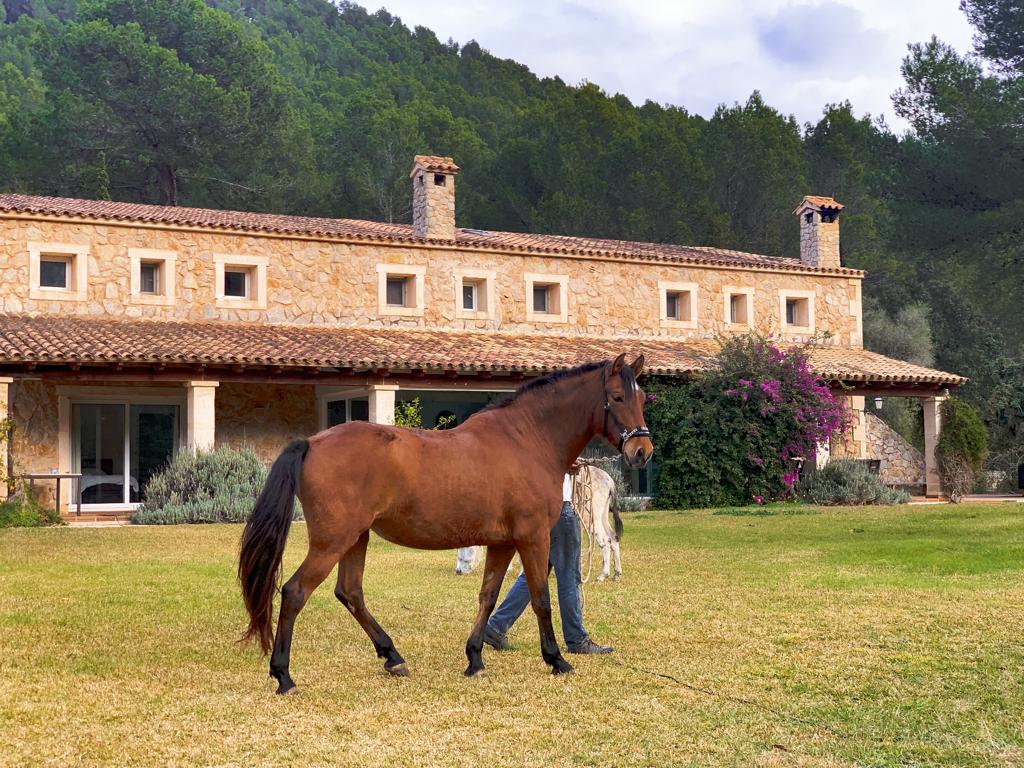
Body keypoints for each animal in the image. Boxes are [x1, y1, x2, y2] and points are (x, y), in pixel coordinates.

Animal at [236, 354, 651, 696]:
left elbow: (488, 596)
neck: (528, 439)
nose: (641, 452)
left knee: (350, 592)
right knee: (294, 592)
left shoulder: (502, 543)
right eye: (617, 397)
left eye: (643, 397)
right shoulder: (533, 537)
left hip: (356, 538)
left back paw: (393, 657)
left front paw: (475, 659)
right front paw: (556, 659)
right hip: (332, 542)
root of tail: (311, 443)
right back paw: (284, 676)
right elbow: (541, 599)